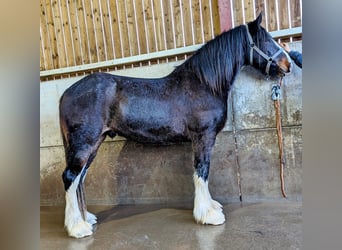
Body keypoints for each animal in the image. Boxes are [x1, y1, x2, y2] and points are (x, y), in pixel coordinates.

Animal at [60, 14, 290, 238]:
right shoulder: (203, 136)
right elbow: (202, 171)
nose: (288, 64)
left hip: (94, 143)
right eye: (265, 40)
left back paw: (86, 218)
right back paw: (77, 228)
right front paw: (208, 215)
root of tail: (67, 93)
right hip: (85, 143)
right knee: (70, 177)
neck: (204, 84)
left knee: (79, 178)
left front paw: (211, 207)